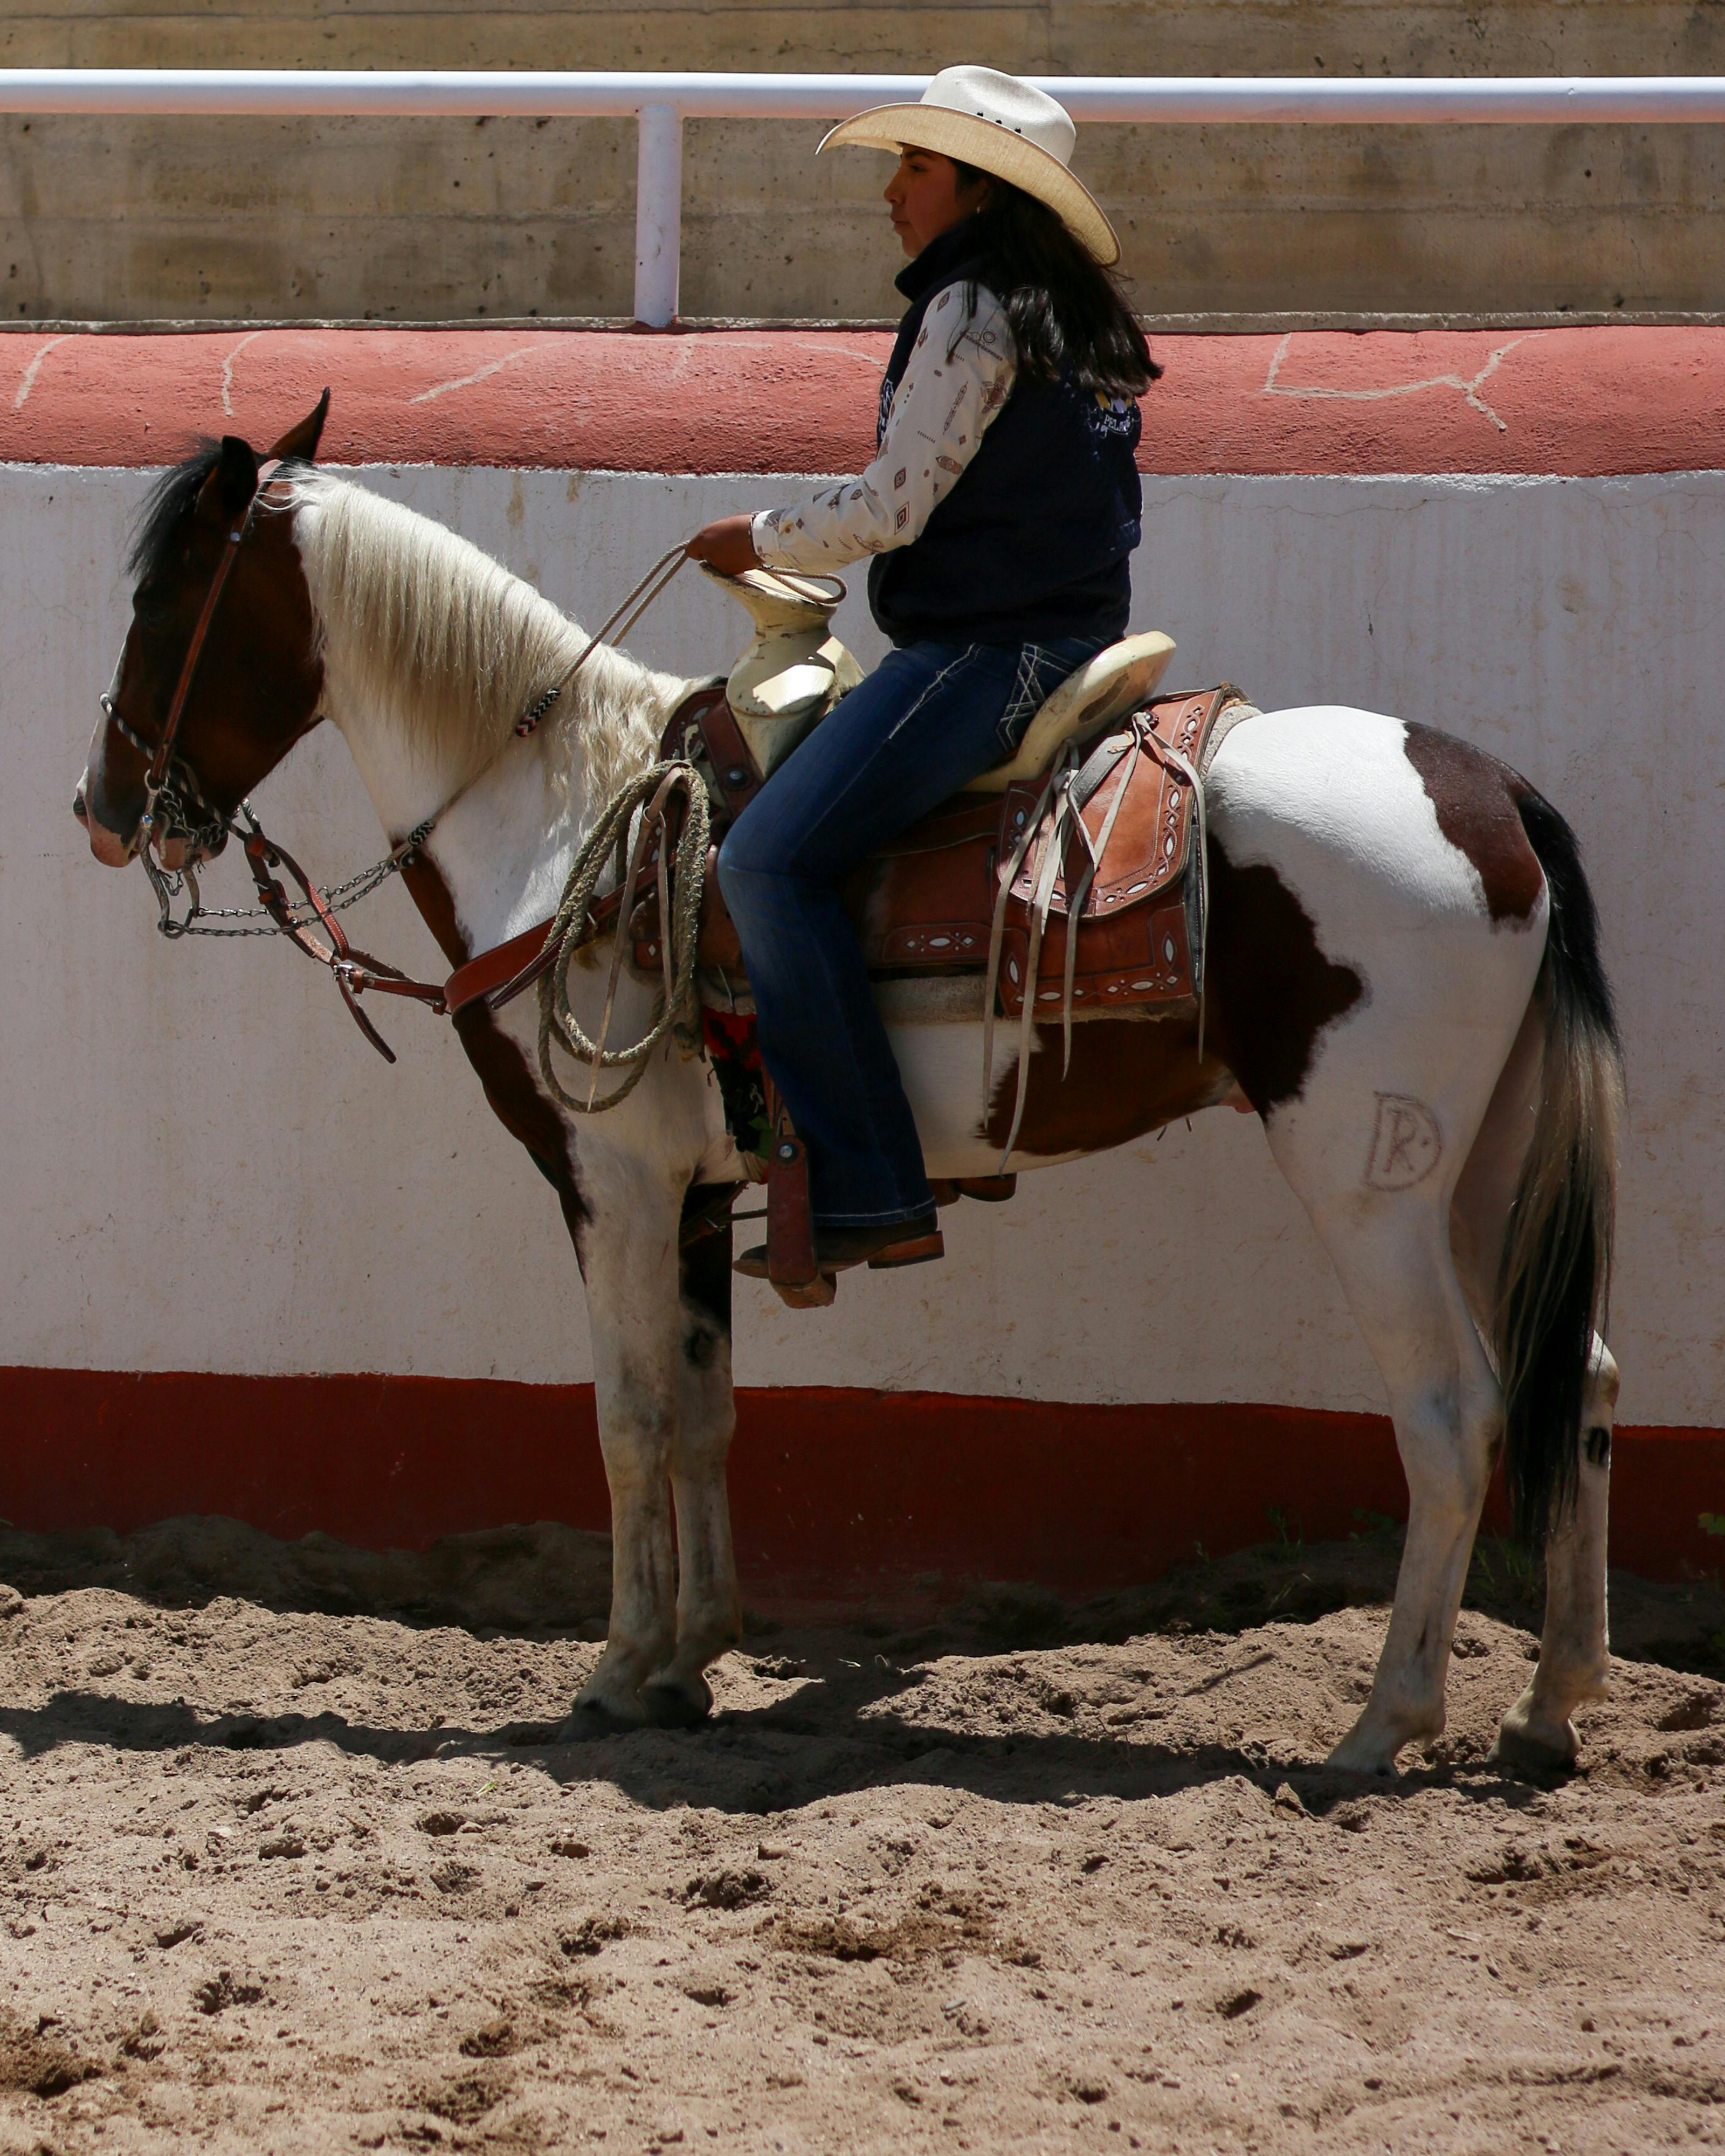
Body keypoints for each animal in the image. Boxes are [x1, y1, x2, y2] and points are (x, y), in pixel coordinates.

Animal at [74, 399, 1624, 1776]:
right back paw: (1547, 1708)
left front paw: (617, 1671)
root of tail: (1490, 793)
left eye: (162, 599)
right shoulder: (699, 1195)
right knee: (1582, 1382)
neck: (569, 822)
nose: (102, 809)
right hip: (1481, 1164)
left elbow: (627, 1418)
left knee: (1452, 1414)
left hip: (1370, 1186)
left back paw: (1384, 1725)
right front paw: (692, 1657)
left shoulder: (611, 1183)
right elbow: (703, 1410)